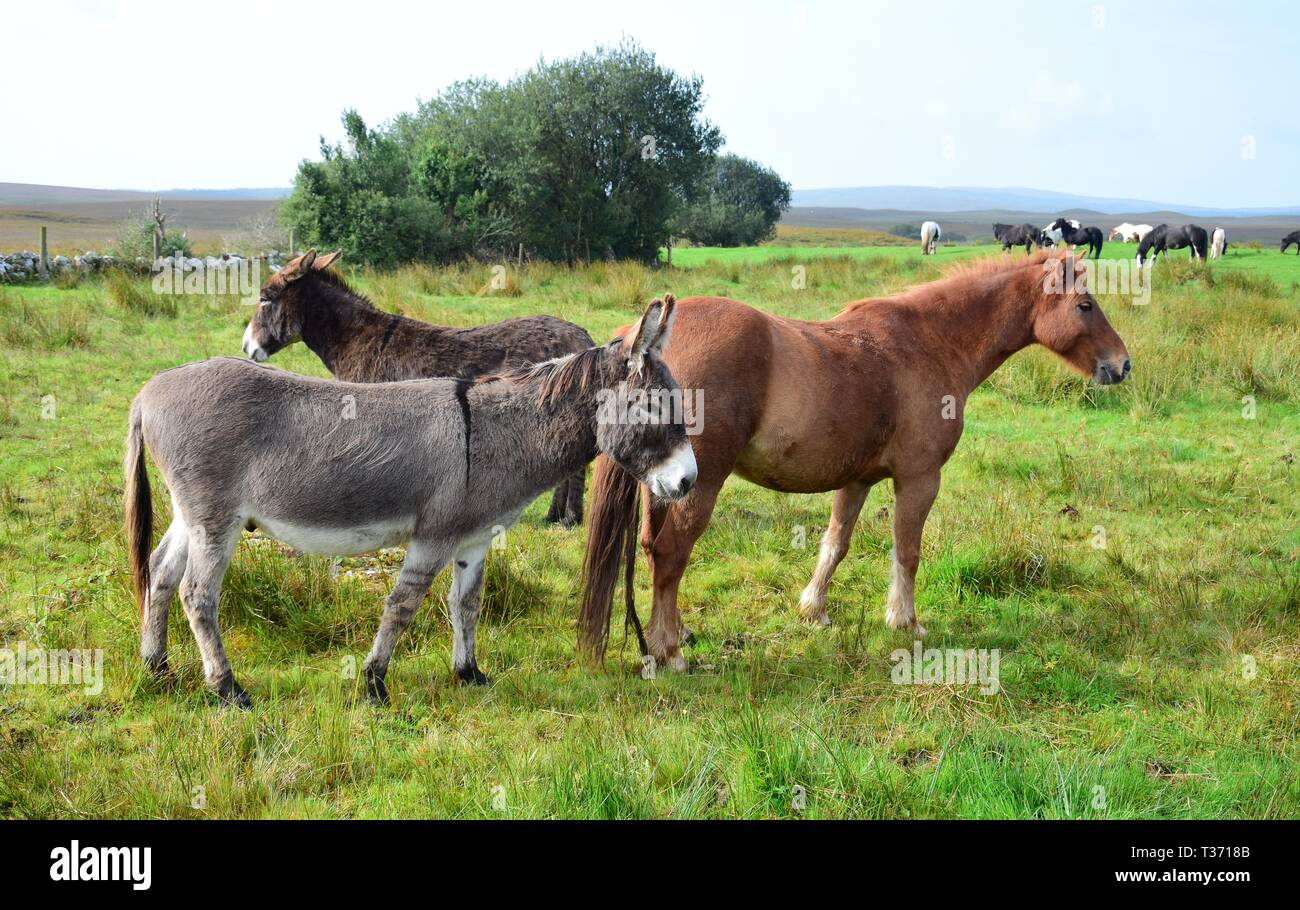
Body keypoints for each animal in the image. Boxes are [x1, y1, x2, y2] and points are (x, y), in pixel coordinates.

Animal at [130, 299, 696, 702]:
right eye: (653, 406)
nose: (689, 481)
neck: (493, 434)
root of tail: (149, 390)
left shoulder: (474, 539)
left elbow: (466, 604)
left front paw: (469, 673)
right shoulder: (434, 536)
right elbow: (403, 604)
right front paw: (374, 682)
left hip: (191, 514)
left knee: (160, 572)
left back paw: (156, 667)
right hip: (215, 519)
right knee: (197, 594)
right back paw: (227, 688)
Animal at [244, 250, 595, 525]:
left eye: (264, 299)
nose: (246, 347)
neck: (356, 339)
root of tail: (581, 336)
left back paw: (570, 519)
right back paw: (555, 516)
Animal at [579, 248, 1128, 670]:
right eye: (1085, 304)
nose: (1122, 365)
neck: (931, 343)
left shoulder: (857, 480)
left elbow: (835, 545)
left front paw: (813, 610)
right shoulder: (919, 480)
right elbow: (907, 551)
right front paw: (905, 622)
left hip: (663, 488)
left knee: (653, 550)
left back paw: (669, 636)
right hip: (699, 485)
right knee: (672, 554)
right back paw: (670, 652)